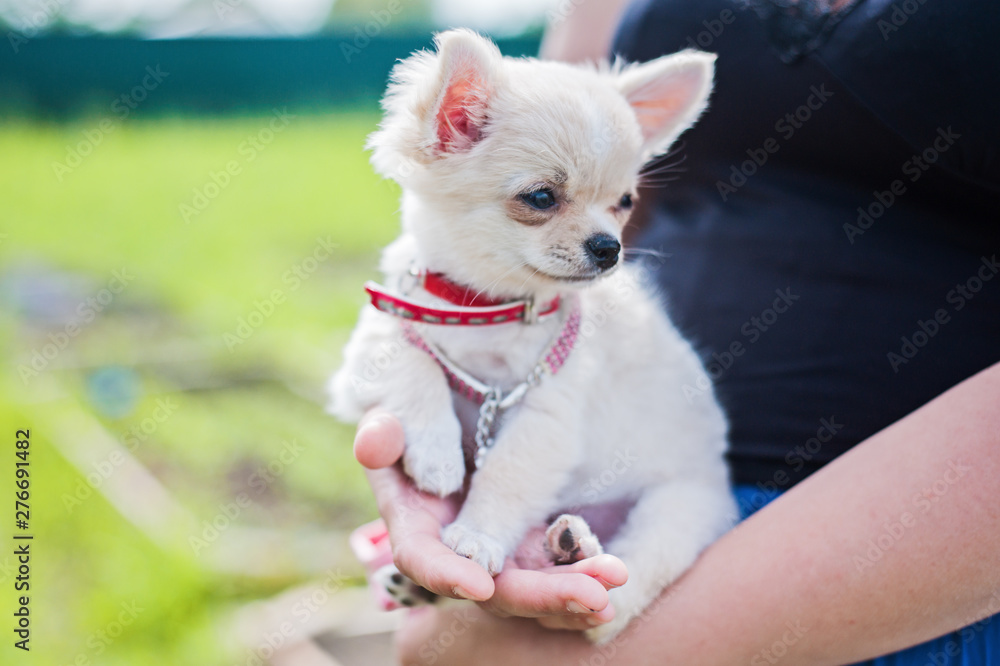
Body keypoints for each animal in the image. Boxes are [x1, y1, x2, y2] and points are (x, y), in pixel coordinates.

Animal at [328, 28, 736, 640]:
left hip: (676, 512)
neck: (489, 309)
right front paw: (437, 453)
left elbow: (506, 474)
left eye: (624, 203)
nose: (609, 247)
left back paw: (576, 552)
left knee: (616, 601)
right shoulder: (376, 339)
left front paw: (476, 537)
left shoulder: (549, 414)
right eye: (541, 197)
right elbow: (415, 363)